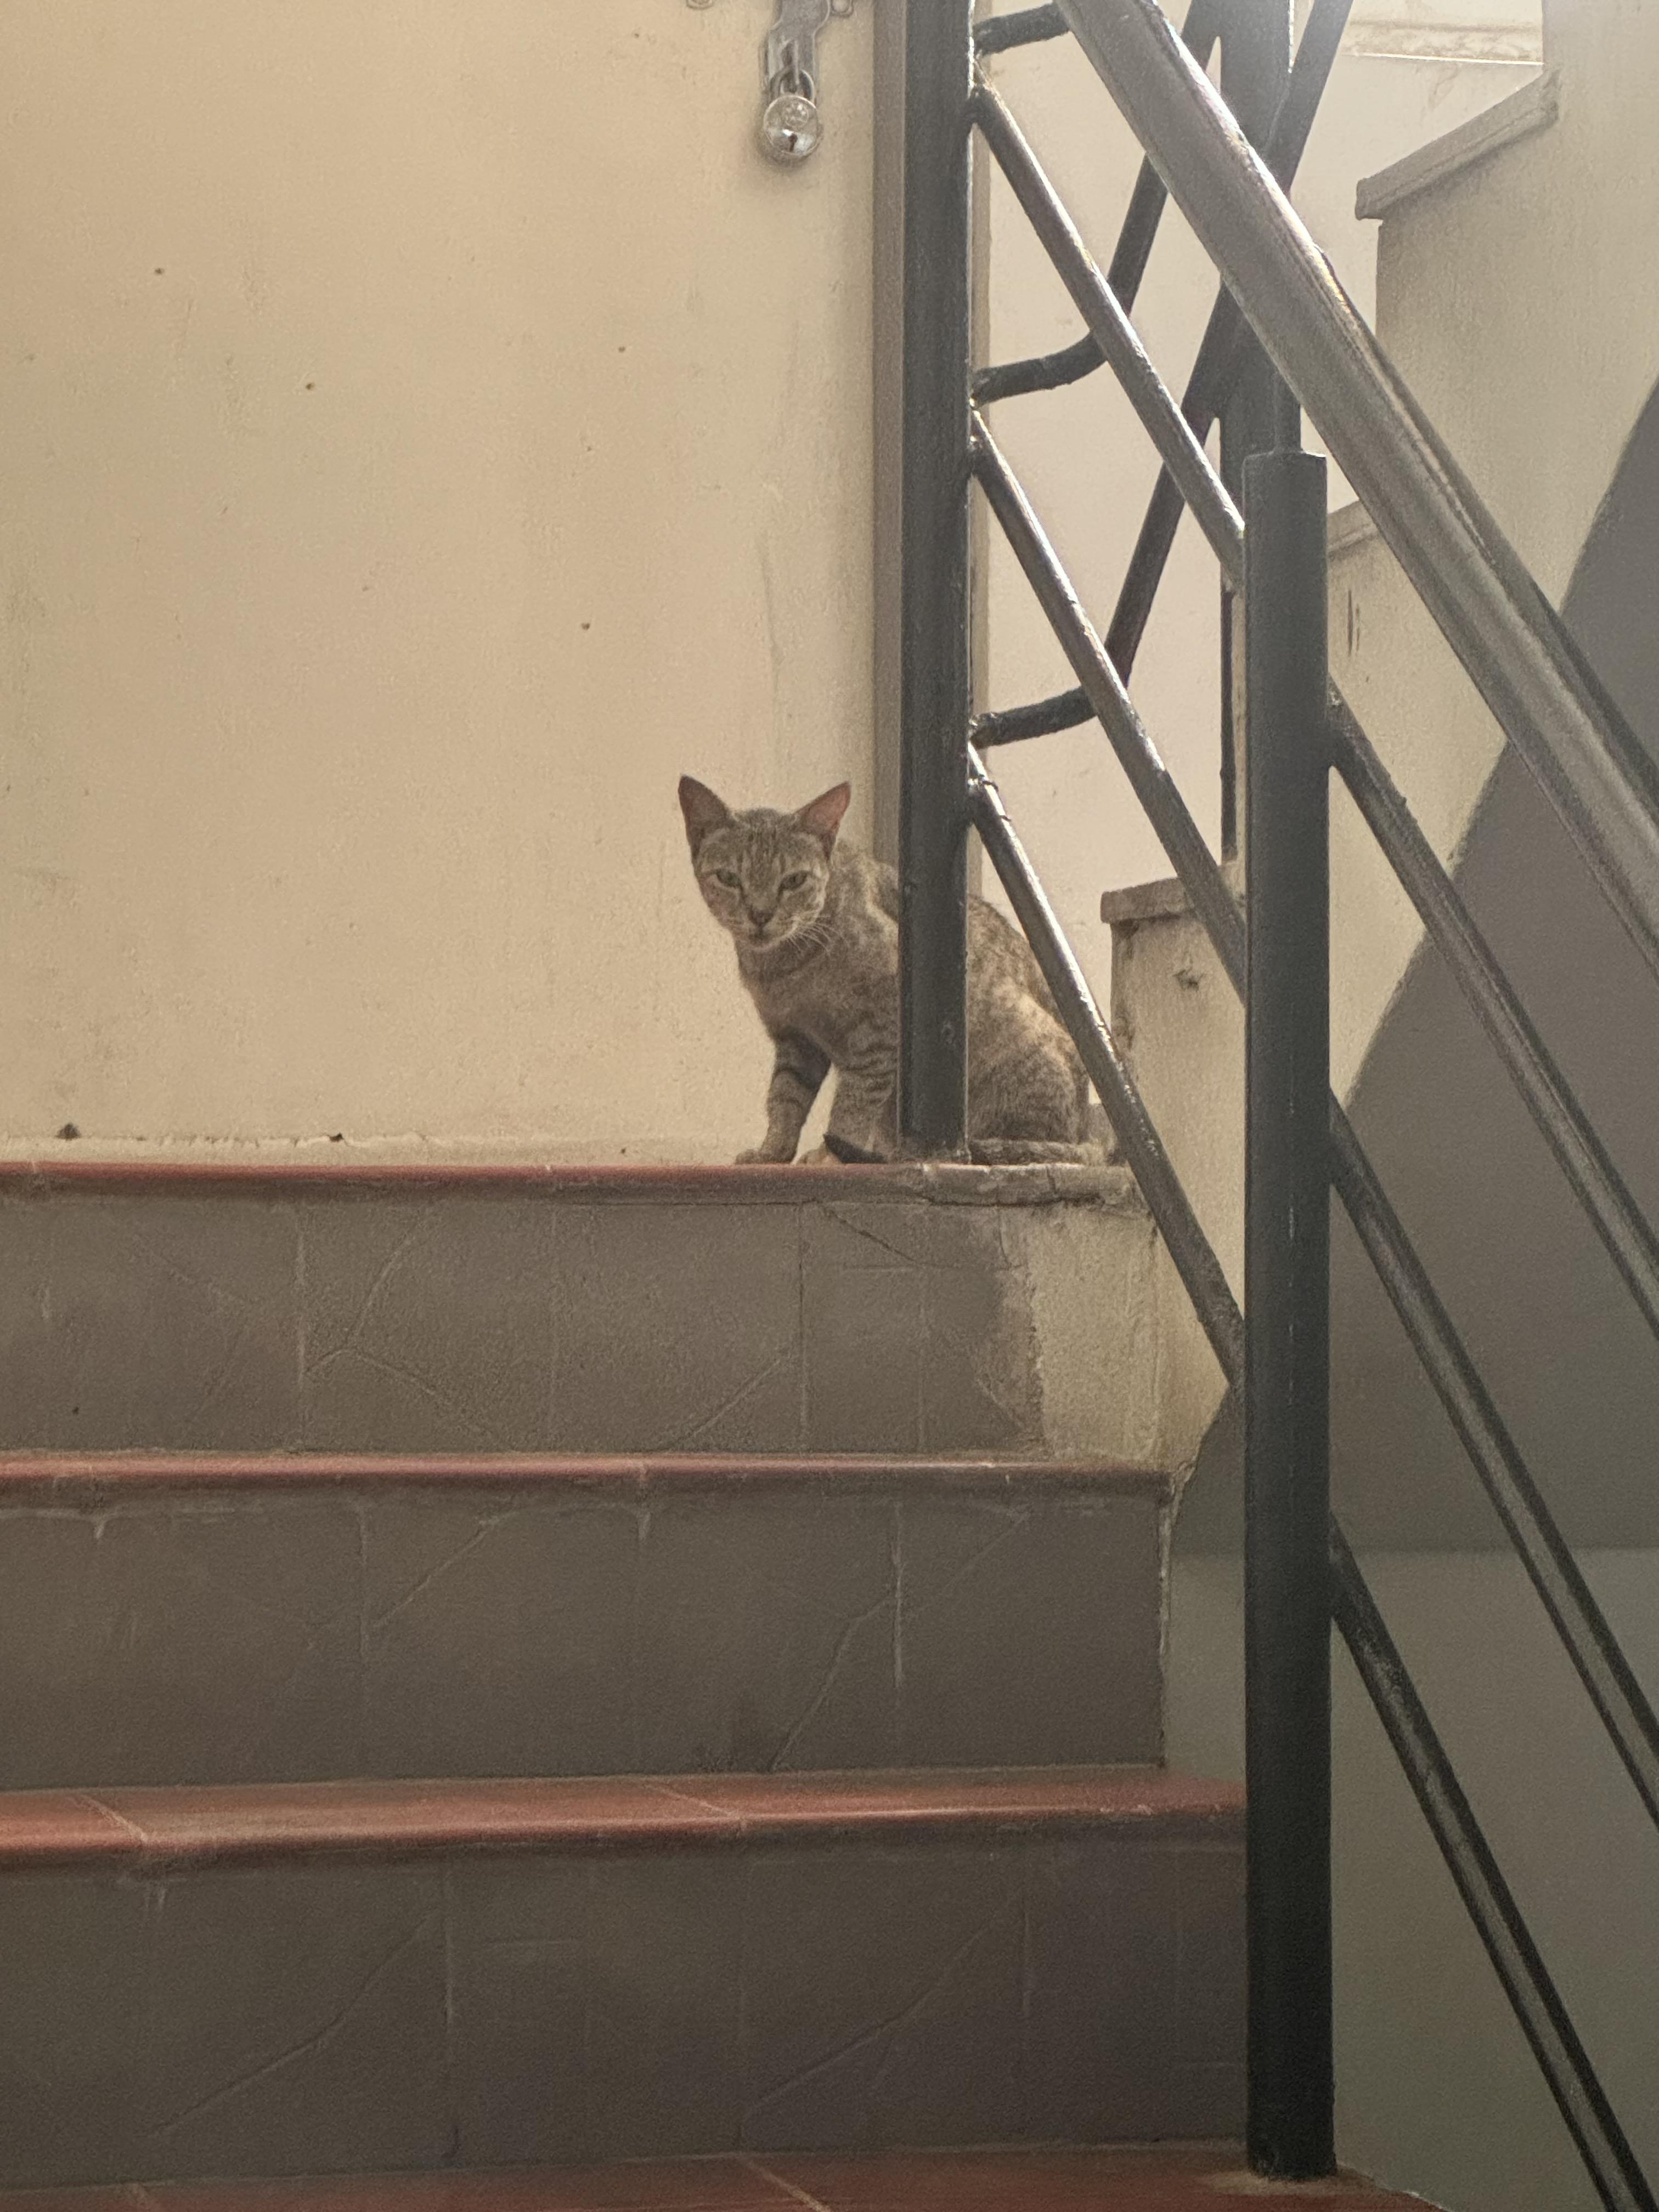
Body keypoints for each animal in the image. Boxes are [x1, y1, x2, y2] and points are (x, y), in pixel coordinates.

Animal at [678, 774, 1097, 1165]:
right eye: (729, 878)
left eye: (794, 880)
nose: (761, 915)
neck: (785, 971)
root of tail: (1087, 1137)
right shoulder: (796, 1039)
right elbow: (784, 1099)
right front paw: (773, 1151)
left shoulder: (880, 1033)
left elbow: (853, 1103)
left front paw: (832, 1153)